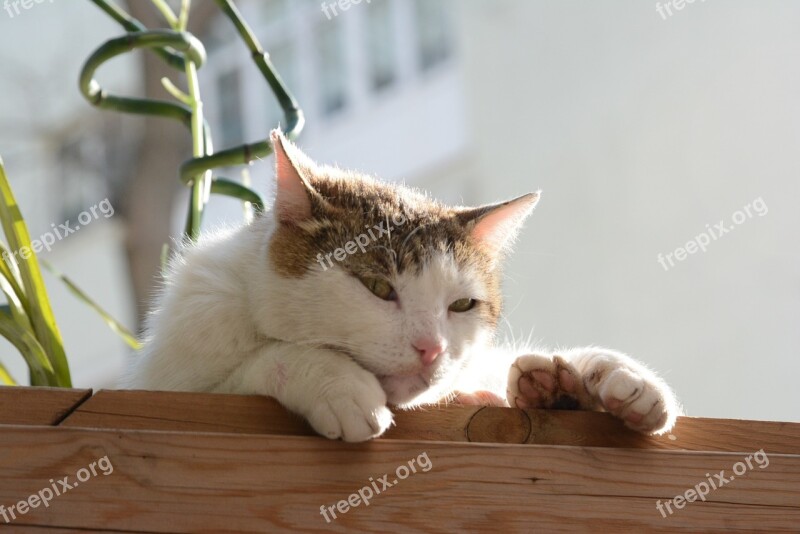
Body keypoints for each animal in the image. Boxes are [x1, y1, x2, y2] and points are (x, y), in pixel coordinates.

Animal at [122, 131, 680, 444]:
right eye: (377, 287)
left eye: (462, 304)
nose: (431, 349)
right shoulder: (172, 386)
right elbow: (255, 365)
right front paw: (334, 380)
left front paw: (600, 378)